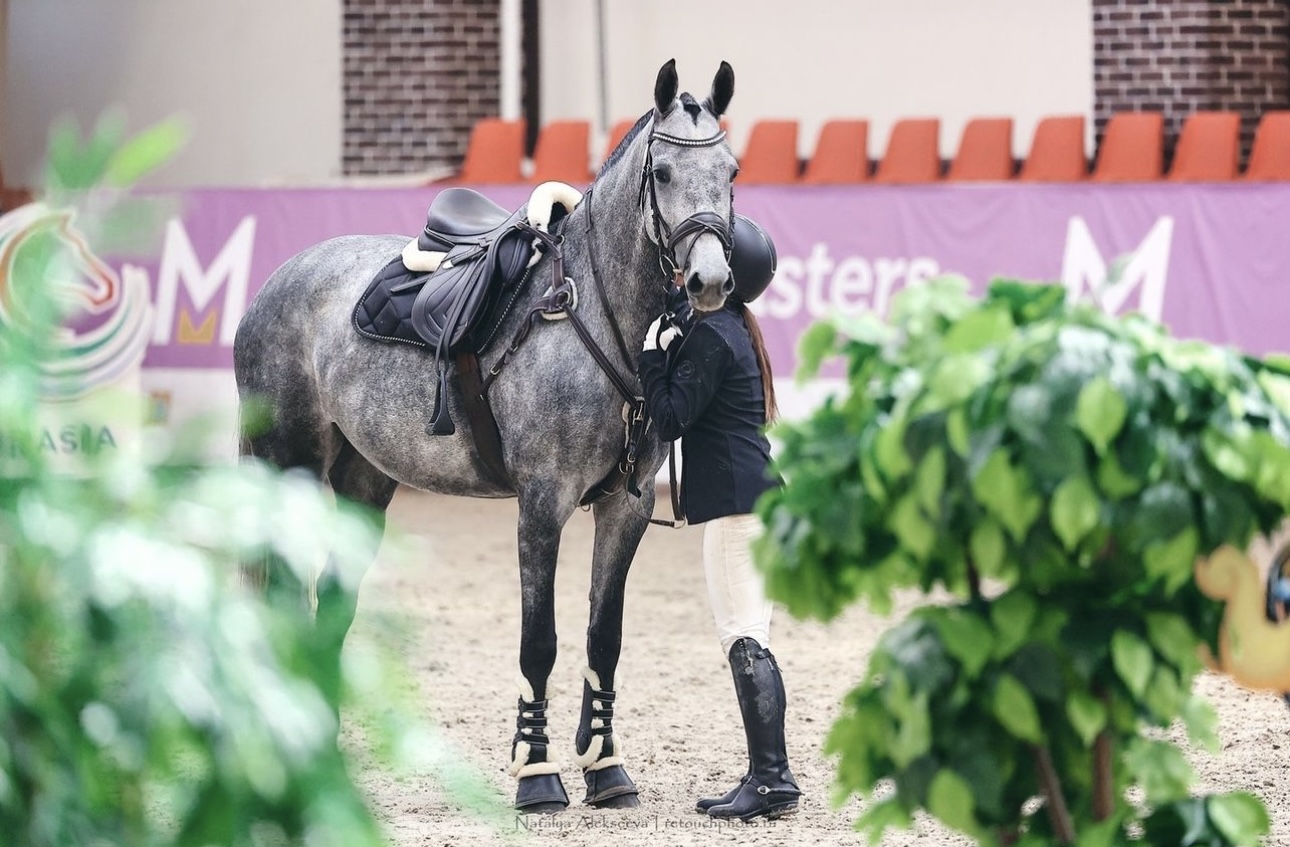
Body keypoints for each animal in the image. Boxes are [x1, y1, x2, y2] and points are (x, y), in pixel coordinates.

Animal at [232, 59, 737, 814]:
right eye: (666, 172)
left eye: (731, 170)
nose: (710, 279)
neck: (597, 315)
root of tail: (275, 284)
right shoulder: (542, 504)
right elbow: (540, 641)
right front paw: (537, 773)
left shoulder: (628, 506)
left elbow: (604, 636)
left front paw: (606, 768)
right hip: (287, 465)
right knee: (287, 595)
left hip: (364, 481)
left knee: (333, 600)